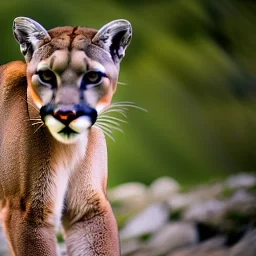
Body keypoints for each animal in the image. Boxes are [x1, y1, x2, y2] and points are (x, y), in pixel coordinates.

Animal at [0, 17, 132, 255]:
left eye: (92, 76)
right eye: (46, 75)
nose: (66, 114)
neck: (70, 150)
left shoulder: (88, 209)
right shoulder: (26, 211)